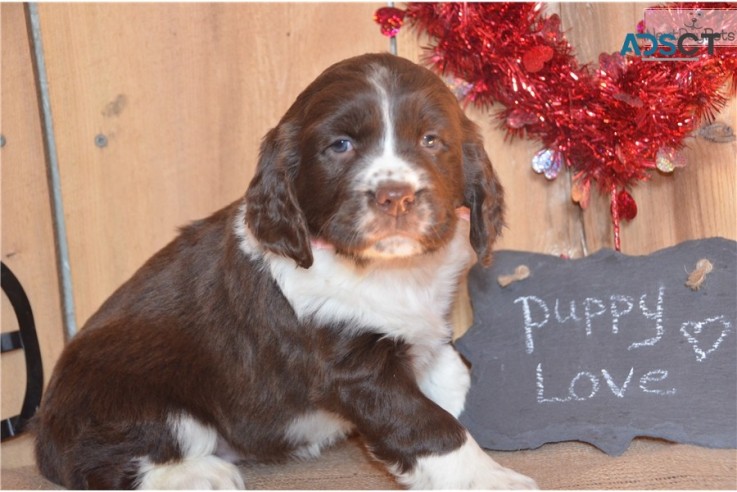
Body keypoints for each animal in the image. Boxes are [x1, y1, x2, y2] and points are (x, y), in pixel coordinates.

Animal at [33, 52, 536, 490]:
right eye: (340, 145)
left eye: (431, 140)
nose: (396, 197)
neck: (386, 269)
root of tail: (43, 433)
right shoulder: (354, 368)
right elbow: (428, 426)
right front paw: (492, 479)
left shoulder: (423, 331)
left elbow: (451, 377)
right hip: (145, 401)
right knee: (102, 463)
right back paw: (200, 474)